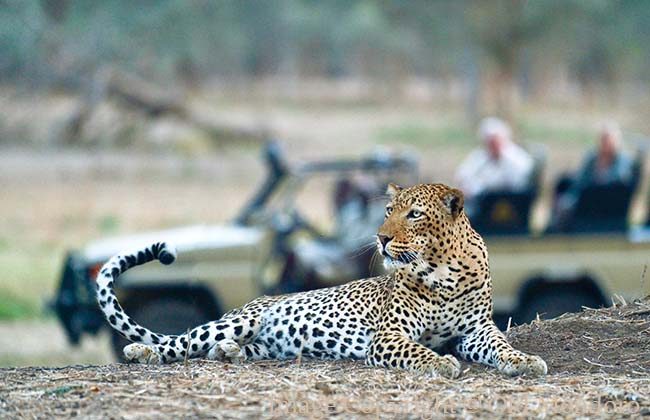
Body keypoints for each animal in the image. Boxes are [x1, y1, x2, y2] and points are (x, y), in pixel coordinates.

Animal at [93, 183, 544, 378]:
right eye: (387, 210)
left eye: (414, 214)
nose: (381, 237)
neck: (444, 269)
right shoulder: (389, 336)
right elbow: (417, 350)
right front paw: (439, 363)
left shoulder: (476, 331)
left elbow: (502, 346)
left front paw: (526, 361)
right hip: (240, 319)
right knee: (180, 341)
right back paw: (142, 352)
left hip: (263, 344)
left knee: (222, 349)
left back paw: (228, 354)